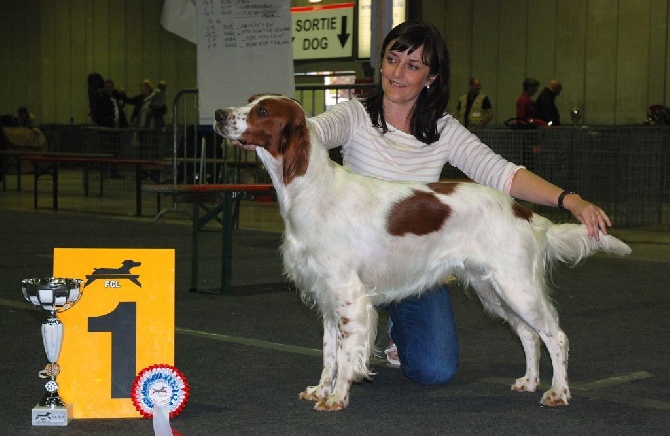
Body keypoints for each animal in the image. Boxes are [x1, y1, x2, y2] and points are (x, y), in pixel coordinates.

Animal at [214, 93, 632, 410]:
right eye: (250, 101)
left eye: (262, 111)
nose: (218, 114)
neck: (311, 191)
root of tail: (523, 212)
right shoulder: (326, 296)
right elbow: (329, 353)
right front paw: (320, 389)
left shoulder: (348, 295)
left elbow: (346, 355)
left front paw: (335, 398)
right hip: (493, 290)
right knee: (529, 335)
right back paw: (529, 382)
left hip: (516, 286)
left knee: (555, 336)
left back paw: (558, 392)